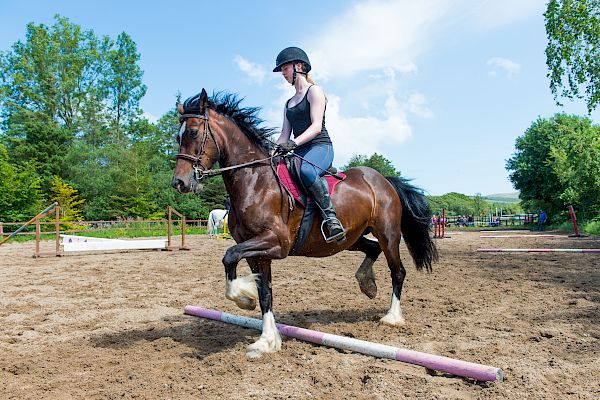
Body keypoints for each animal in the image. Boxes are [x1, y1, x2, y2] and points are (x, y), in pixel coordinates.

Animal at [172, 90, 436, 356]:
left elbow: (229, 256)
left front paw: (245, 300)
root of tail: (384, 180)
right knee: (371, 248)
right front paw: (267, 339)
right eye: (177, 136)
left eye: (193, 132)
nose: (179, 183)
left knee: (397, 271)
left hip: (388, 234)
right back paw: (367, 283)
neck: (255, 181)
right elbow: (265, 292)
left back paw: (392, 316)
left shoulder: (276, 243)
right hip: (348, 239)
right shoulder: (256, 250)